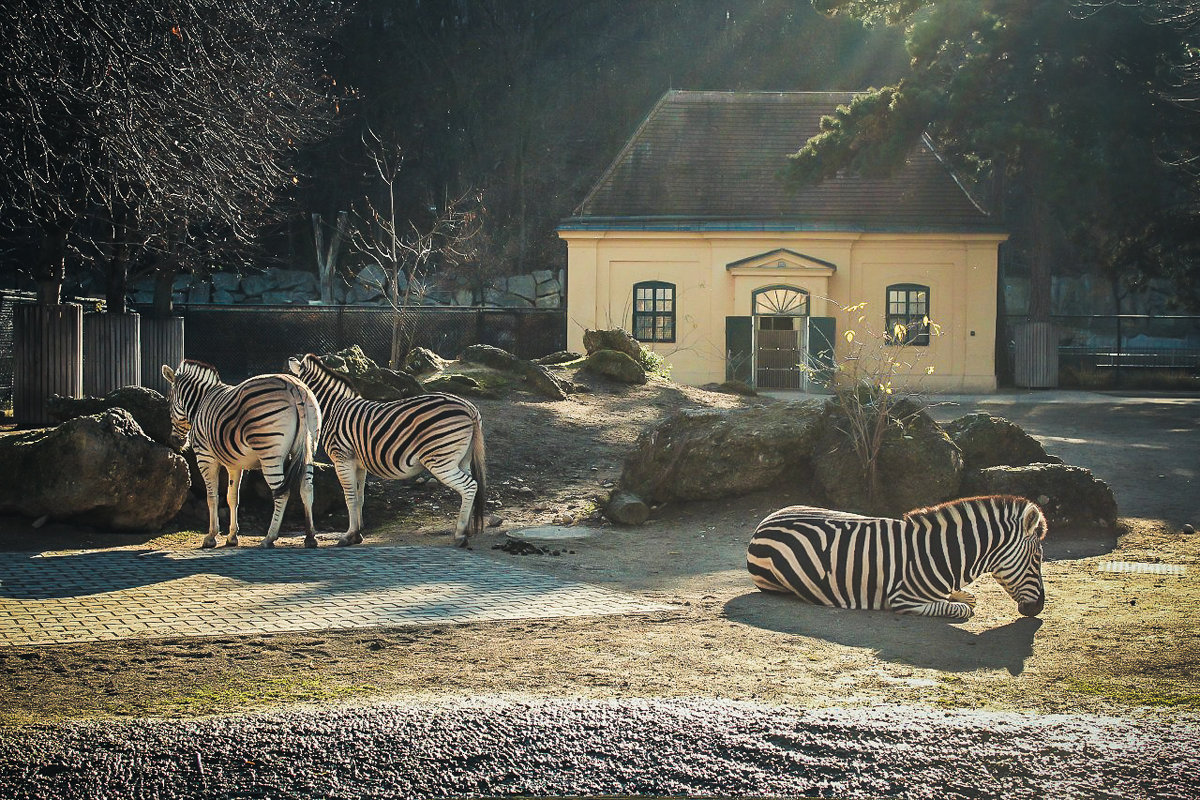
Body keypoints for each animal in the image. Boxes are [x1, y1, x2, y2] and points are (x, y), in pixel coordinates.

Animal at [164, 362, 326, 551]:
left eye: (169, 401)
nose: (175, 441)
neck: (200, 403)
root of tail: (294, 386)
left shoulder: (205, 457)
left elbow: (212, 497)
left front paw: (211, 537)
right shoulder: (234, 464)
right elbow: (232, 497)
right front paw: (232, 537)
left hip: (270, 453)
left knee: (281, 493)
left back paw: (269, 538)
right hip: (309, 447)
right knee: (307, 488)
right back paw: (310, 537)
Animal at [285, 352, 487, 546]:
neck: (333, 409)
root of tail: (469, 407)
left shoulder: (342, 458)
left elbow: (350, 497)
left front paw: (349, 535)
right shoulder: (359, 463)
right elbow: (359, 497)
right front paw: (358, 533)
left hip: (440, 459)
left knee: (469, 486)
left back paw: (460, 534)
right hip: (462, 459)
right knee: (472, 486)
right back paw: (468, 530)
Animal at [744, 496, 1046, 623]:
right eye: (1037, 558)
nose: (1039, 608)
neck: (942, 551)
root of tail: (765, 520)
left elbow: (967, 598)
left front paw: (959, 594)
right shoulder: (904, 599)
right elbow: (961, 609)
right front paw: (957, 602)